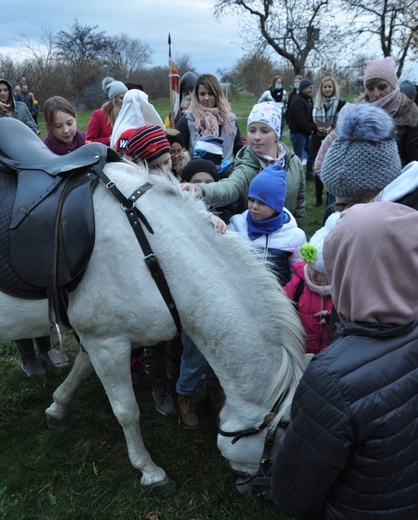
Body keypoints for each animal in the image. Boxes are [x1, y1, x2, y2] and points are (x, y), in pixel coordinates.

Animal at [0, 160, 306, 494]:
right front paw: (150, 471)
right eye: (280, 432)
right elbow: (126, 411)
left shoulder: (99, 337)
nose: (257, 489)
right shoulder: (107, 342)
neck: (156, 254)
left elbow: (81, 369)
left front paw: (57, 407)